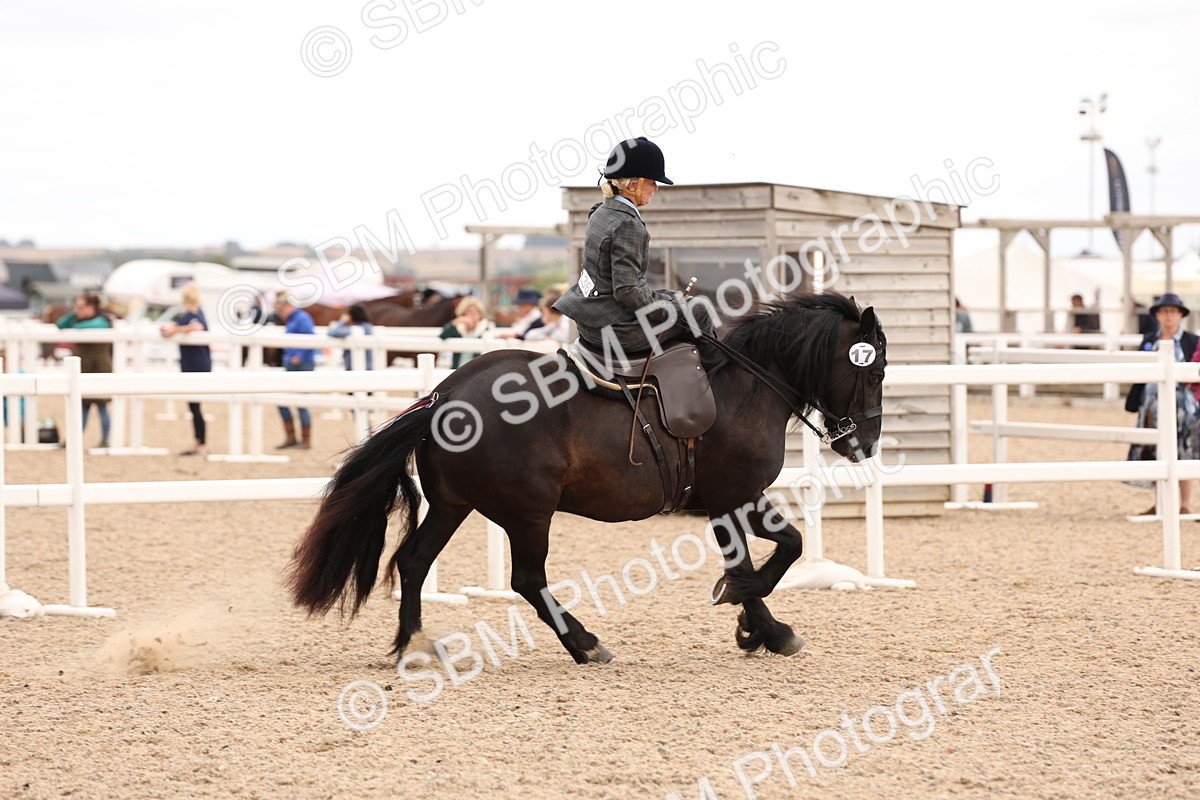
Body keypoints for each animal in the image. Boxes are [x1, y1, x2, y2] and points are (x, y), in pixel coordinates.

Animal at [287, 291, 886, 664]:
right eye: (874, 370)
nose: (864, 445)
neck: (749, 384)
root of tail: (446, 393)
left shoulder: (732, 500)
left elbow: (773, 549)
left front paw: (759, 627)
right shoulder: (733, 495)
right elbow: (775, 552)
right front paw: (752, 613)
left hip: (456, 504)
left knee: (413, 562)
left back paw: (412, 644)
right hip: (528, 512)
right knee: (527, 580)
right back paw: (585, 643)